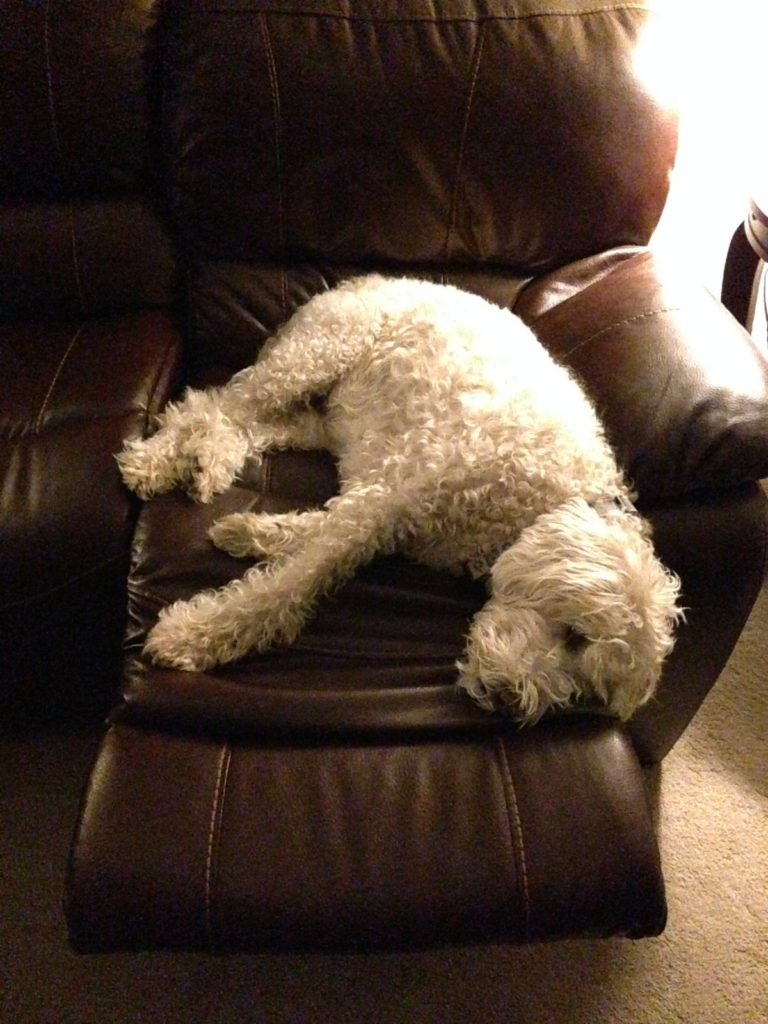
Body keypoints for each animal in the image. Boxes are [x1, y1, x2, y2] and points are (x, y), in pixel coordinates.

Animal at [117, 272, 684, 720]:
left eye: (588, 687)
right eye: (575, 635)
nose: (509, 701)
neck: (532, 502)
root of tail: (361, 280)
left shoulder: (380, 510)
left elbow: (312, 531)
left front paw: (249, 532)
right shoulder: (388, 500)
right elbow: (285, 587)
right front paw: (196, 634)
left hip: (327, 422)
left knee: (248, 425)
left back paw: (210, 462)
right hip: (313, 357)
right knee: (213, 403)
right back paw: (157, 461)